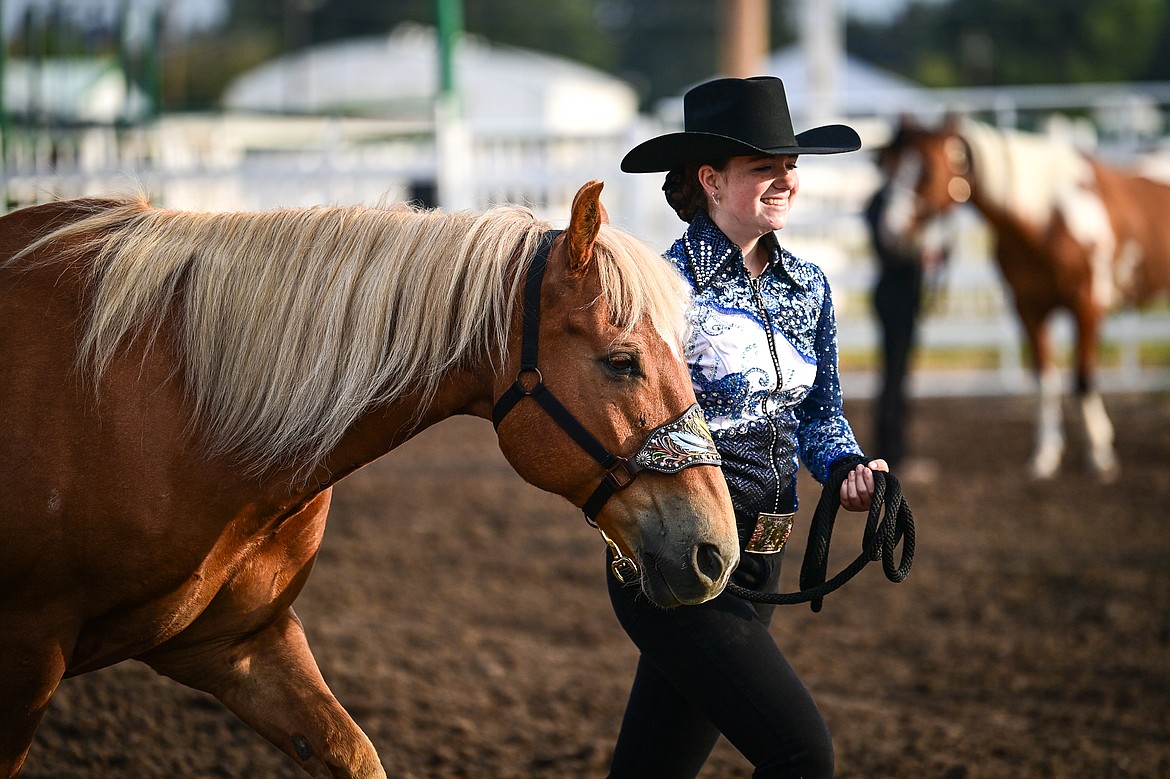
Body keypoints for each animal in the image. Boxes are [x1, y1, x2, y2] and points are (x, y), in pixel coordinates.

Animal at [879, 116, 1170, 479]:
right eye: (889, 167)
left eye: (928, 170)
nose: (889, 233)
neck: (1049, 218)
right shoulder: (1029, 309)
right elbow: (1045, 378)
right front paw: (1045, 456)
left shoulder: (1087, 306)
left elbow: (1083, 377)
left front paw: (1099, 454)